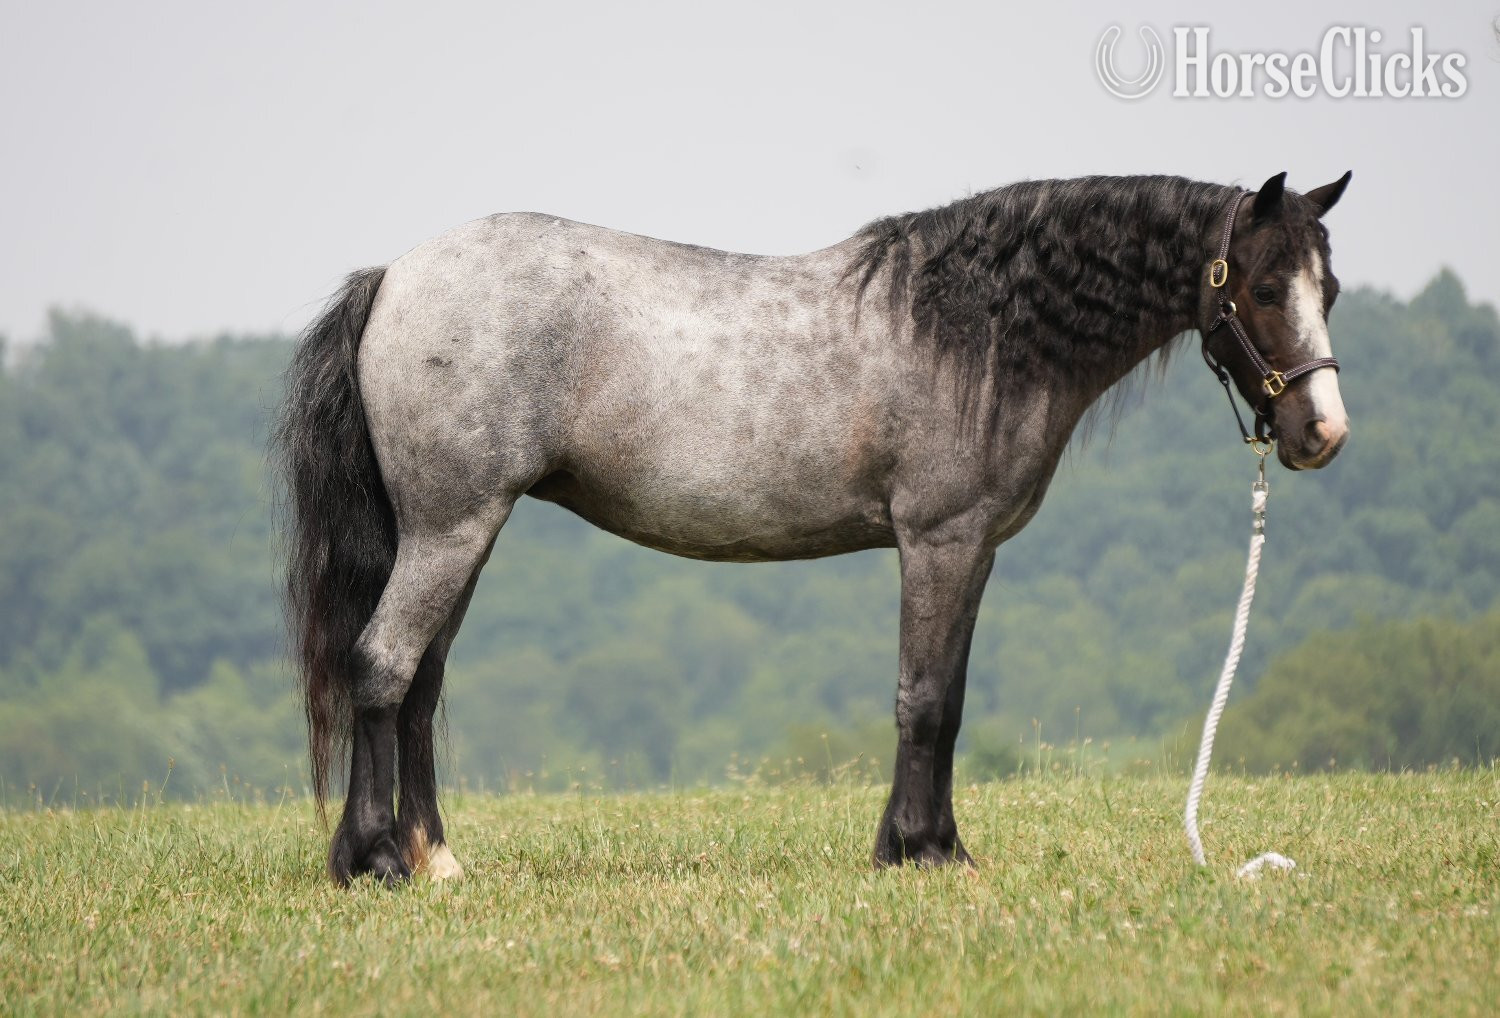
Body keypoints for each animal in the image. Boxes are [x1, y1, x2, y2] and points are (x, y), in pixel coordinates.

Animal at [275, 170, 1352, 885]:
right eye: (1262, 286)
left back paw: (436, 858)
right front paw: (919, 852)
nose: (1321, 433)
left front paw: (934, 843)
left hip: (460, 531)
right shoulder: (941, 540)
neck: (973, 328)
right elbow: (927, 700)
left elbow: (948, 697)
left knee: (418, 685)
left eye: (1328, 289)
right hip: (452, 526)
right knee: (382, 667)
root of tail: (395, 276)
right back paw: (374, 861)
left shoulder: (971, 551)